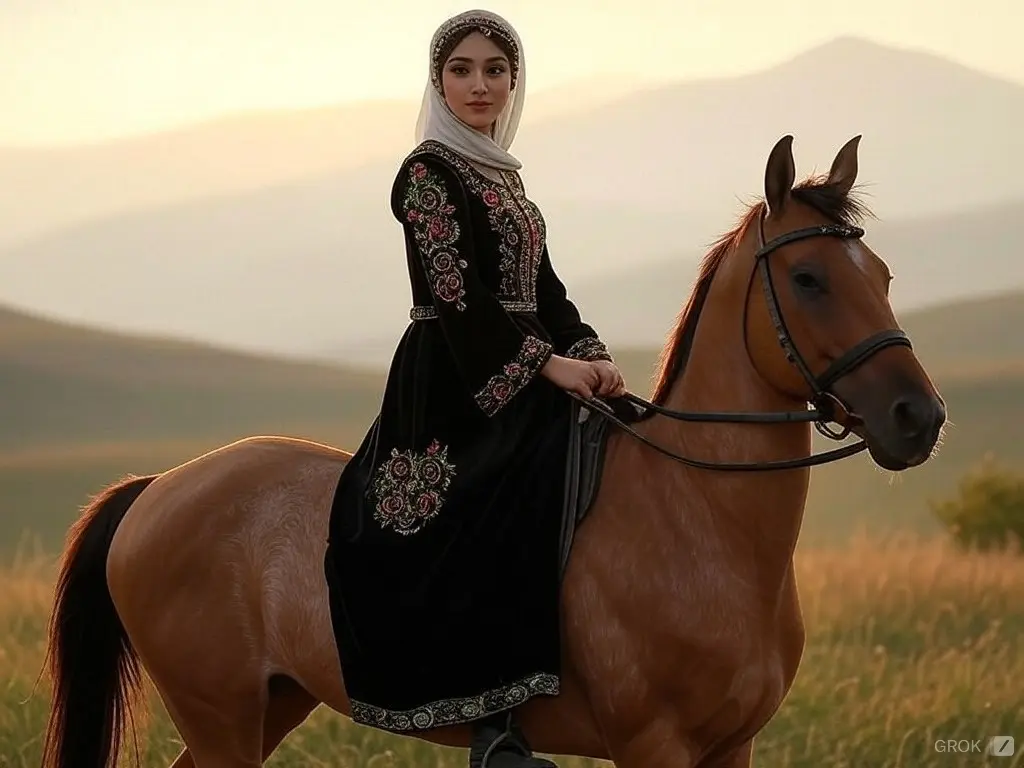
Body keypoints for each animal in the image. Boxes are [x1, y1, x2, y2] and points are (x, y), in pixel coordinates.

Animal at [36, 135, 946, 765]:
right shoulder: (653, 743)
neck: (697, 522)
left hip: (268, 704)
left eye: (885, 275)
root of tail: (157, 488)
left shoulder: (733, 746)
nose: (920, 417)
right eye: (809, 280)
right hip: (221, 713)